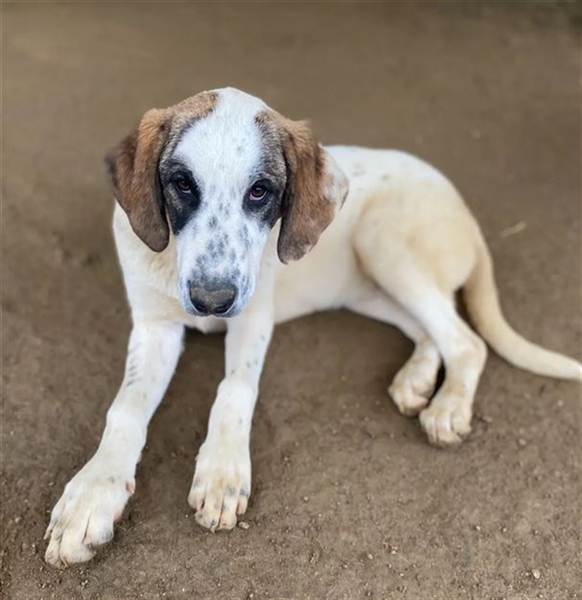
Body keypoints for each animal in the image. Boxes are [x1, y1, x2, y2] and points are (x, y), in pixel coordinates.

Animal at [44, 87, 582, 567]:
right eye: (182, 184)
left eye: (259, 191)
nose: (211, 302)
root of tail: (469, 217)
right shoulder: (153, 327)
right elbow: (126, 407)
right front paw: (92, 494)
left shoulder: (252, 318)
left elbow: (234, 391)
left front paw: (222, 470)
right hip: (367, 286)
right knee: (431, 330)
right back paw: (417, 380)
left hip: (382, 240)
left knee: (465, 340)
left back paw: (447, 407)